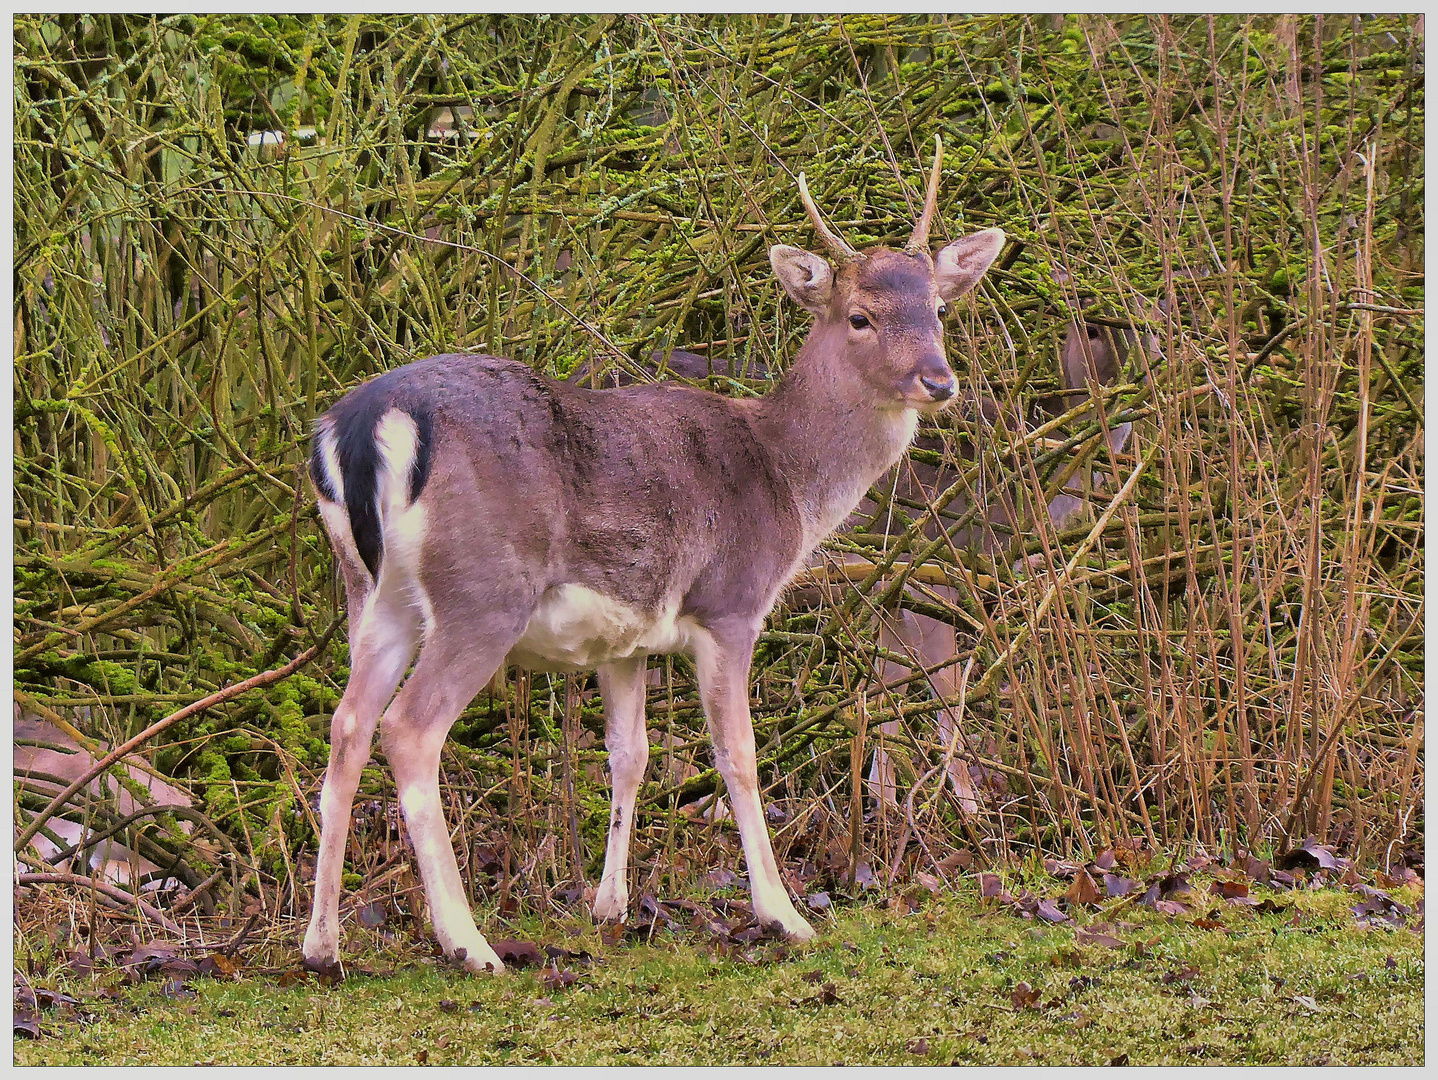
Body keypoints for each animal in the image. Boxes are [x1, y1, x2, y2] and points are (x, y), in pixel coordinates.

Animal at [297, 137, 1006, 977]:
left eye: (938, 308)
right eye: (860, 316)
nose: (938, 380)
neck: (785, 481)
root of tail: (361, 427)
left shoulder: (623, 639)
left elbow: (628, 754)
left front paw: (609, 907)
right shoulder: (731, 604)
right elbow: (736, 754)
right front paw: (783, 915)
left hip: (374, 591)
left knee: (347, 724)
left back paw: (322, 944)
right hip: (483, 590)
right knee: (409, 729)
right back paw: (470, 944)